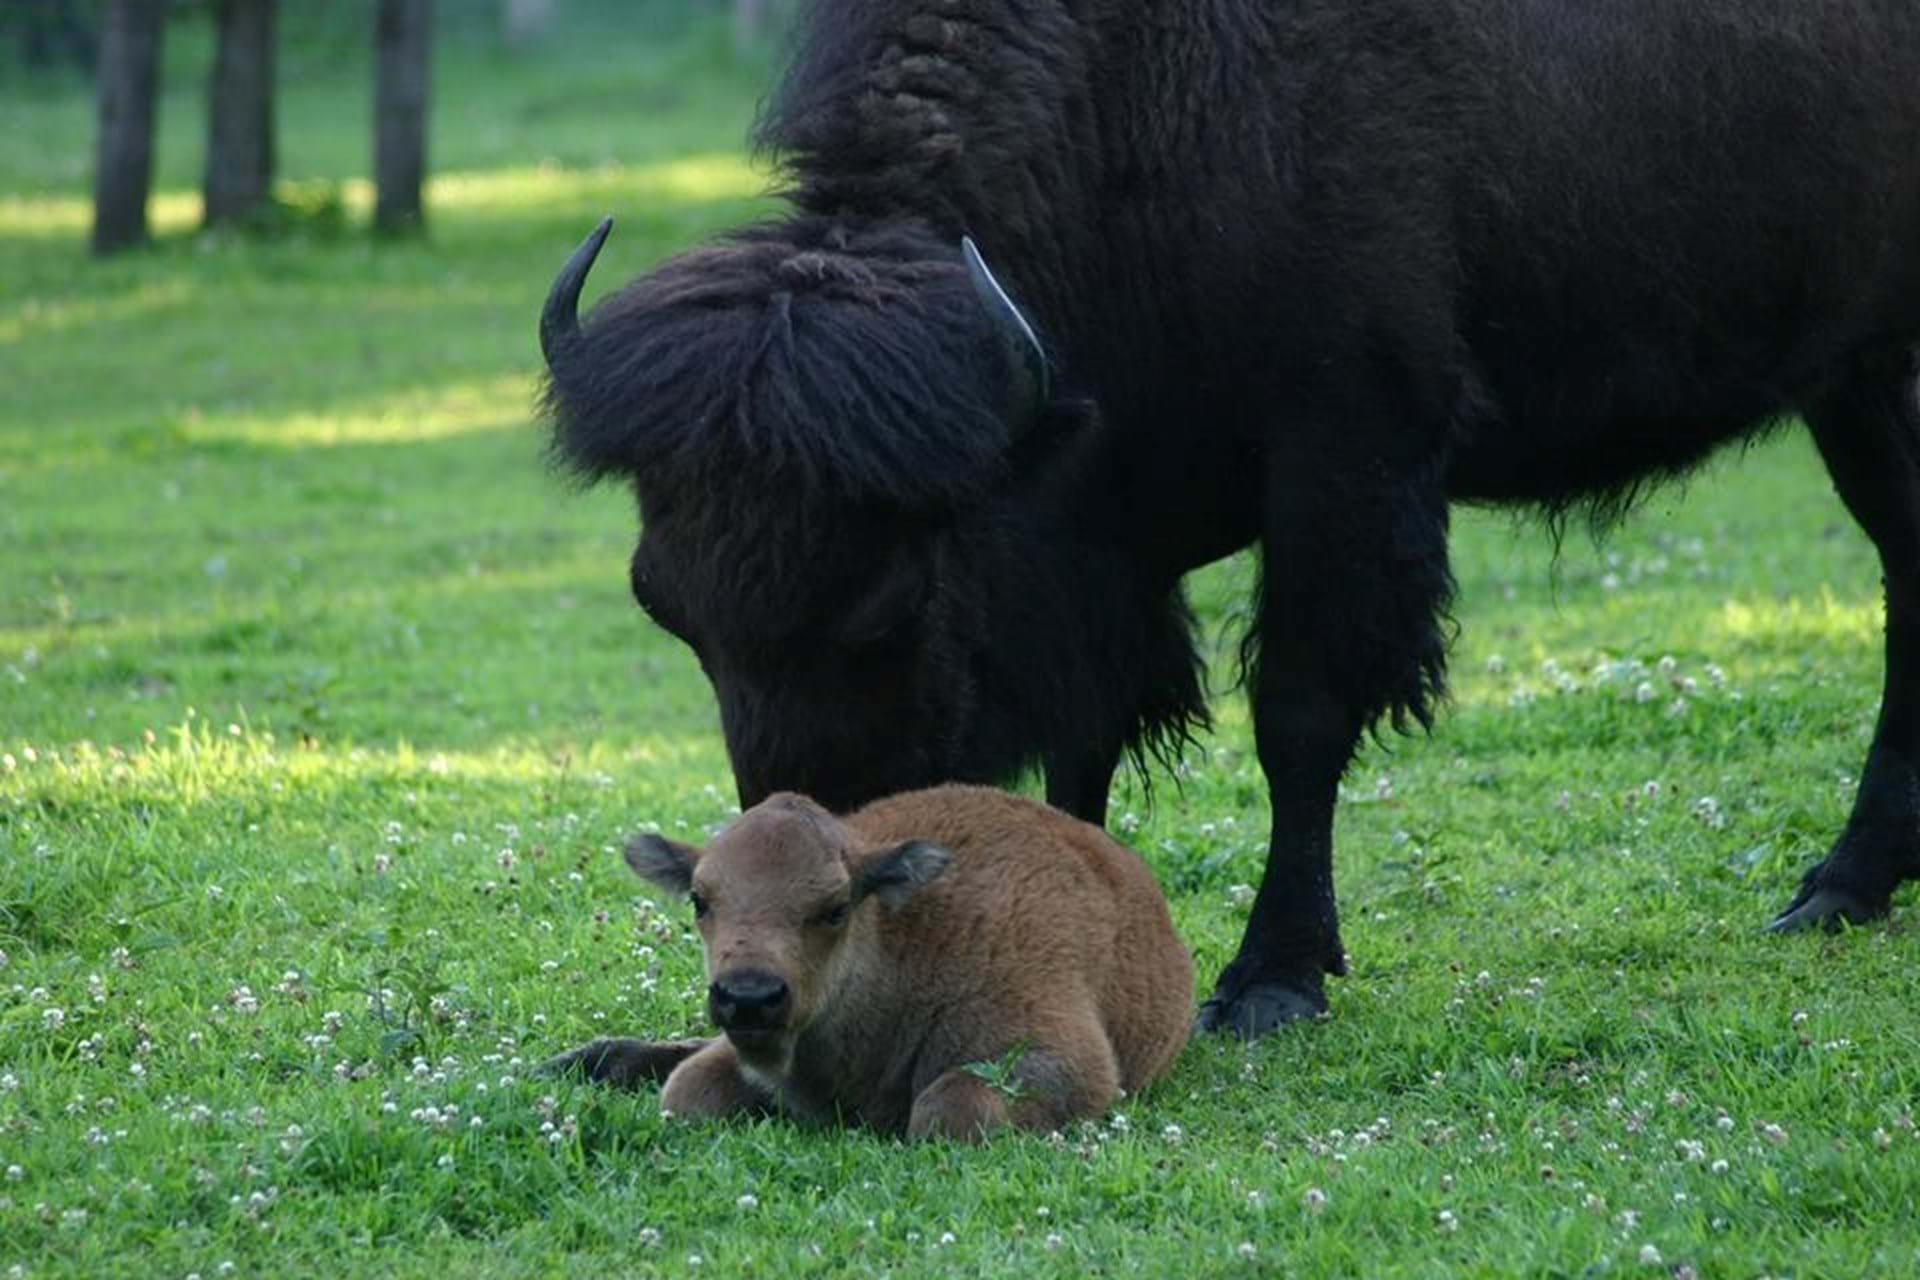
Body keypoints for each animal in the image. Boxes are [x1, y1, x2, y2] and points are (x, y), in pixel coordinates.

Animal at [541, 0, 1920, 1036]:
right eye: (668, 607)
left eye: (890, 601)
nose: (785, 911)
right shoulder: (1108, 547)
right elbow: (1086, 740)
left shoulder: (1347, 460)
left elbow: (1298, 717)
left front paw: (1272, 977)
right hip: (1853, 387)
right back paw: (1846, 888)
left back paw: (1836, 884)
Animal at [541, 786, 1190, 1143]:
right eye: (701, 900)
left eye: (834, 907)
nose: (748, 997)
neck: (904, 941)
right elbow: (687, 1089)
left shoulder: (1069, 1059)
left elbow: (947, 1109)